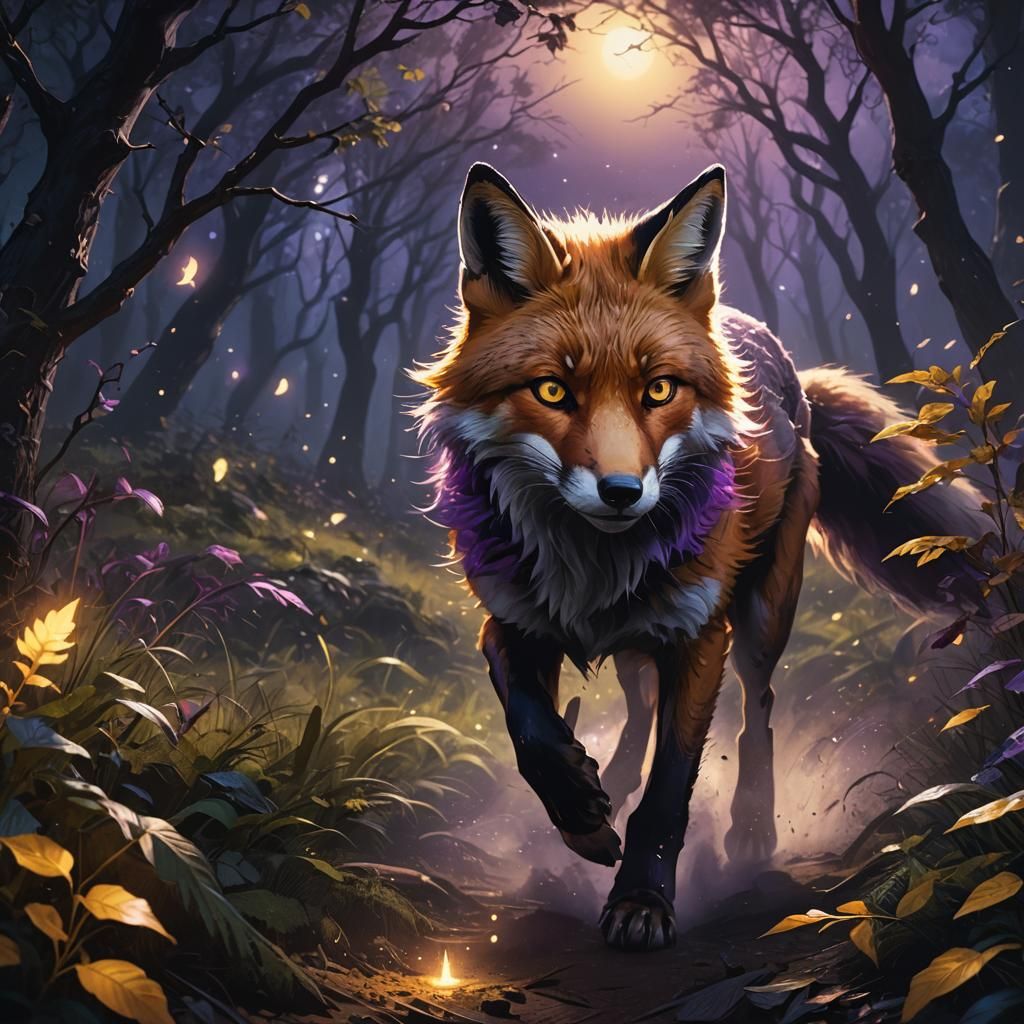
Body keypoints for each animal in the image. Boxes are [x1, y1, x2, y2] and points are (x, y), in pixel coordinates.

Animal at [412, 163, 983, 951]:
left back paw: (750, 827)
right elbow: (531, 729)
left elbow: (669, 791)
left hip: (763, 613)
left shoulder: (697, 635)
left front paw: (642, 902)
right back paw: (614, 778)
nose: (623, 493)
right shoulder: (510, 621)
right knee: (640, 704)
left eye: (658, 389)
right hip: (637, 640)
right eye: (553, 389)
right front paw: (583, 817)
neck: (590, 568)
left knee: (758, 707)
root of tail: (780, 356)